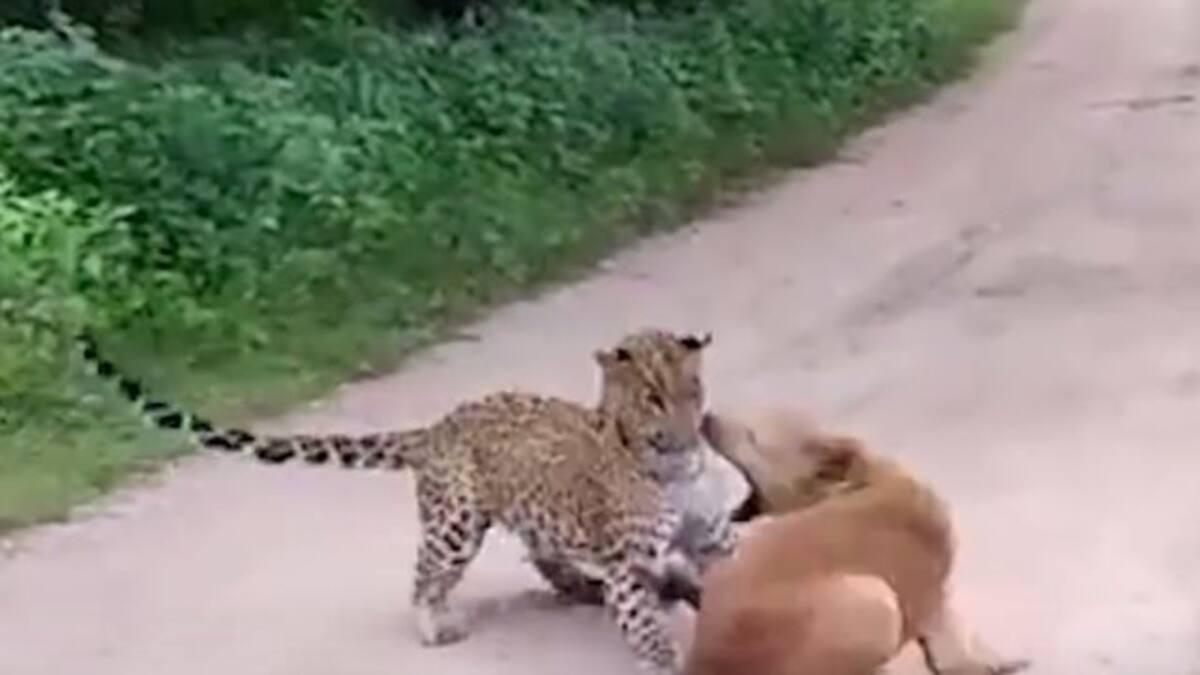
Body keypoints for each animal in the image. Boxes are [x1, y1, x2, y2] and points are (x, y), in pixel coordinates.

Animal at [77, 328, 731, 675]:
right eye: (651, 398)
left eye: (693, 390)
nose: (683, 430)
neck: (675, 467)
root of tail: (435, 428)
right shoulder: (629, 564)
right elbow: (647, 627)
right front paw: (669, 657)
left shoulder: (715, 537)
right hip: (455, 524)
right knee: (423, 577)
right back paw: (436, 627)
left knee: (540, 555)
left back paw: (575, 590)